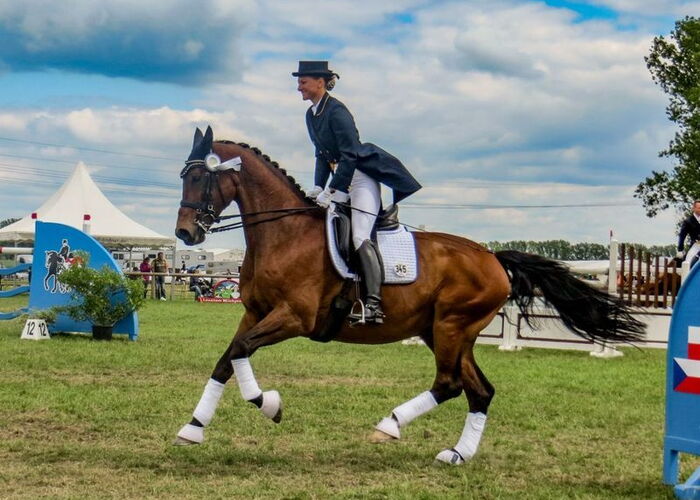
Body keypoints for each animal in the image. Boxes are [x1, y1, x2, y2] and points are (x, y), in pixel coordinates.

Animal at [173, 126, 645, 465]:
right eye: (184, 177)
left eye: (198, 177)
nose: (186, 234)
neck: (282, 233)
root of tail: (492, 257)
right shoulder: (254, 313)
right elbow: (228, 358)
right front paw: (193, 428)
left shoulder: (293, 317)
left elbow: (241, 353)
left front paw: (269, 404)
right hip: (445, 332)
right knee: (479, 390)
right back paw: (457, 454)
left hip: (452, 326)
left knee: (450, 384)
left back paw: (391, 424)